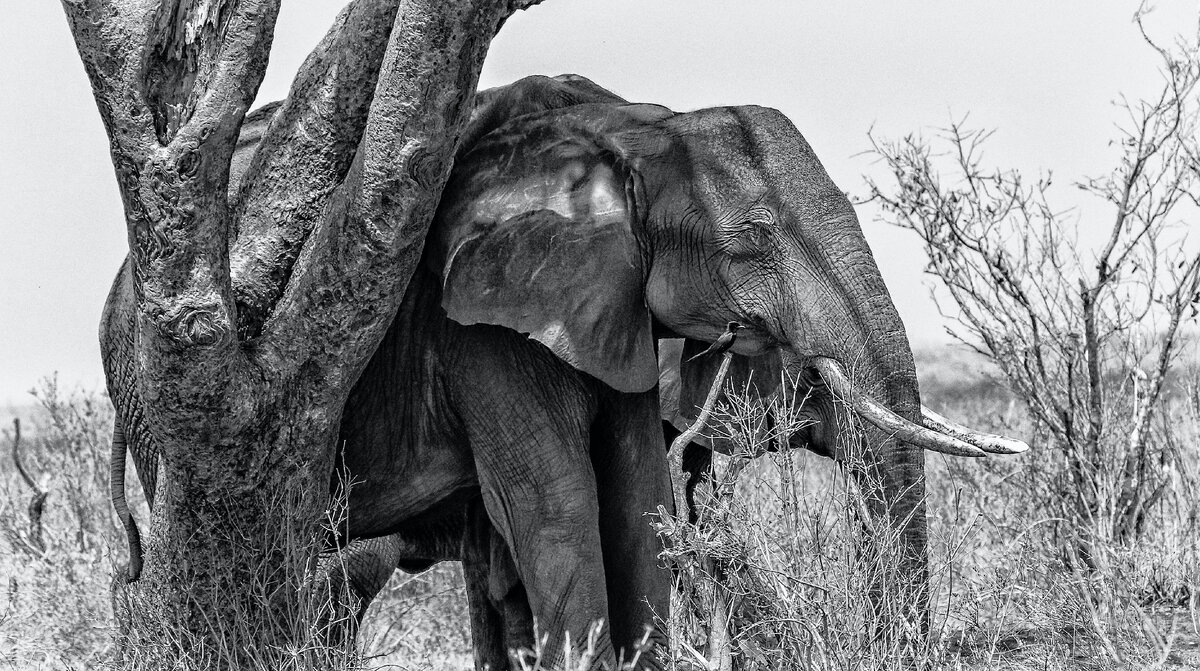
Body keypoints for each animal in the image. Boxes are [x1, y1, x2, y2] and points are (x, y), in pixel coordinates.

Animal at [103, 73, 1022, 671]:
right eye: (752, 241)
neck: (633, 124)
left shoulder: (615, 308)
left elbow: (637, 488)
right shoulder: (475, 316)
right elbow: (559, 500)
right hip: (168, 403)